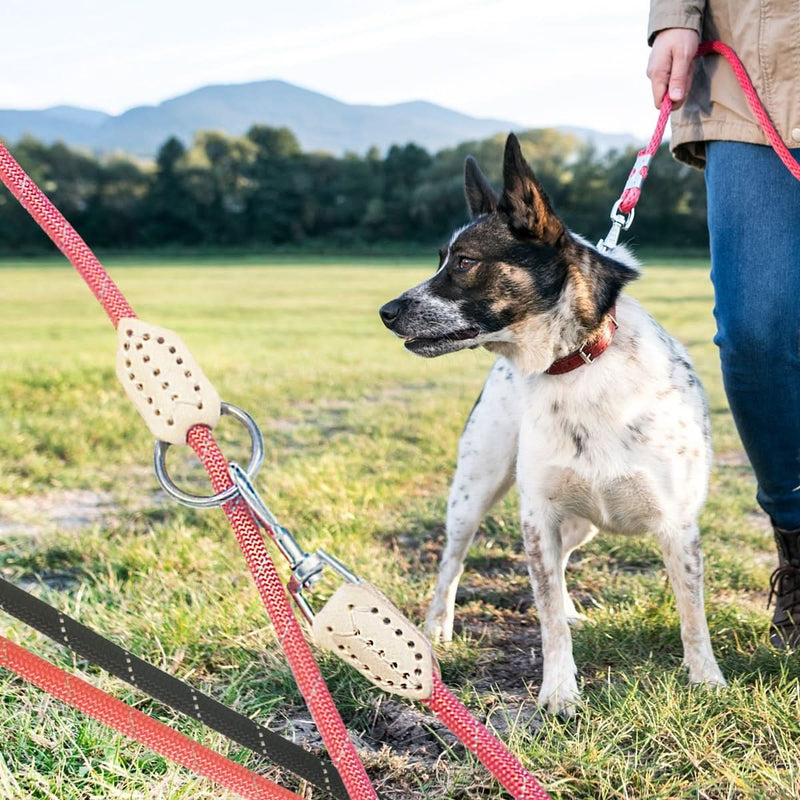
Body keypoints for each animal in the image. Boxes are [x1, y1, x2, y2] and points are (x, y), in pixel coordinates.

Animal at [378, 134, 728, 716]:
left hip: (580, 520)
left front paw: (707, 680)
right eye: (440, 260)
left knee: (562, 562)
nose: (385, 311)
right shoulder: (537, 515)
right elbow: (545, 623)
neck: (578, 362)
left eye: (465, 261)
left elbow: (692, 613)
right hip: (473, 494)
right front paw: (560, 692)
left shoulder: (678, 527)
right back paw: (436, 630)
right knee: (452, 564)